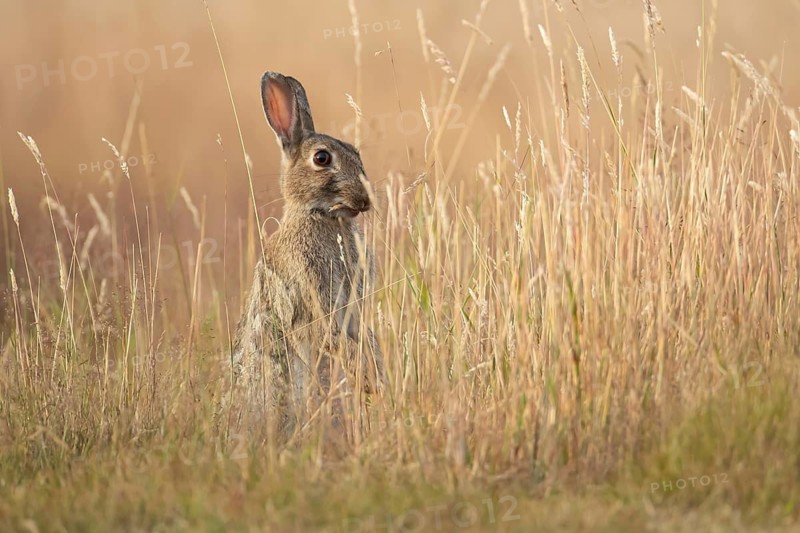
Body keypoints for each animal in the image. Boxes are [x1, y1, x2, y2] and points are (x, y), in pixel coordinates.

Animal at [232, 71, 383, 430]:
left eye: (356, 151)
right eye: (322, 158)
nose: (365, 200)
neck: (320, 216)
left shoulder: (353, 309)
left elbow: (362, 337)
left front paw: (376, 376)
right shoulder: (316, 298)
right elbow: (332, 338)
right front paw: (368, 380)